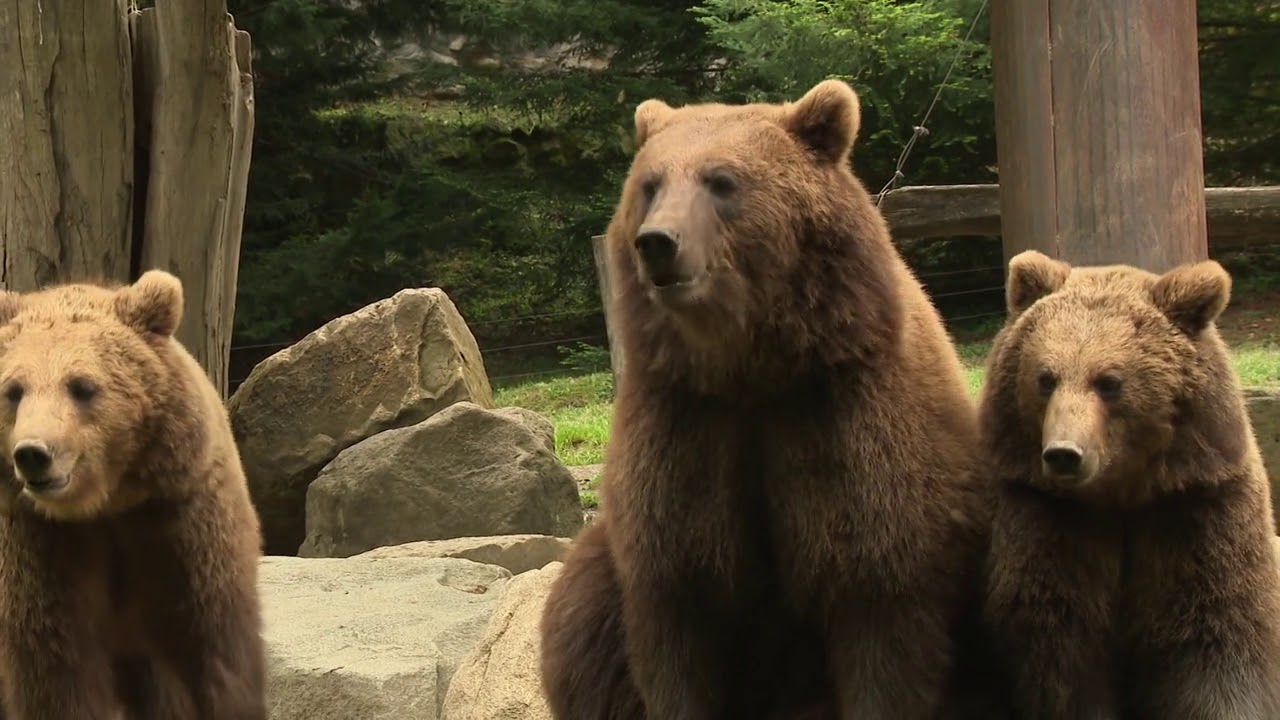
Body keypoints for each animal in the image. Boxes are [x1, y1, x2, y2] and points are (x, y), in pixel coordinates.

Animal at [0, 270, 266, 717]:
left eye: (82, 386)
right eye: (14, 390)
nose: (33, 454)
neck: (106, 502)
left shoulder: (180, 519)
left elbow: (212, 649)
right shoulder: (39, 542)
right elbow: (56, 663)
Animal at [535, 78, 993, 717]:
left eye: (722, 180)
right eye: (650, 184)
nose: (658, 243)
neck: (749, 368)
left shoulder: (845, 415)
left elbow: (879, 607)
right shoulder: (684, 425)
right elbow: (675, 615)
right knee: (580, 622)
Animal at [977, 249, 1280, 712]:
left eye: (1109, 382)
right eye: (1046, 378)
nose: (1064, 454)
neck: (1121, 494)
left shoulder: (1197, 509)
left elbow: (1218, 637)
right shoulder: (1047, 517)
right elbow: (1061, 652)